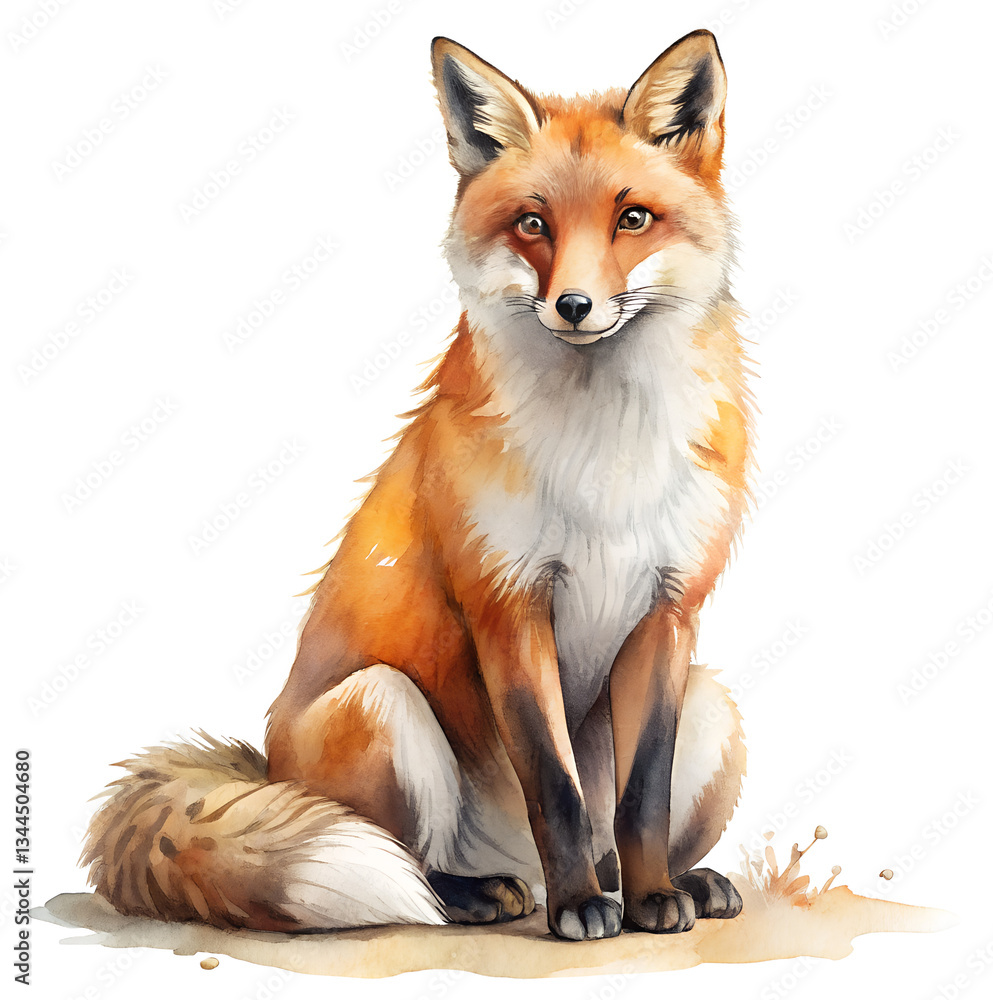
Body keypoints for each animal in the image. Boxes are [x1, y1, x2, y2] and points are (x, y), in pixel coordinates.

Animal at [83, 28, 752, 942]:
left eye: (633, 219)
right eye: (532, 223)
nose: (574, 306)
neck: (603, 458)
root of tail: (267, 767)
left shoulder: (668, 608)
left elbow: (638, 796)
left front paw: (652, 898)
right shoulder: (507, 604)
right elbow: (555, 788)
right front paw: (581, 908)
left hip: (713, 705)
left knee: (613, 830)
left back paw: (664, 881)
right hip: (384, 704)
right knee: (412, 867)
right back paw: (499, 894)